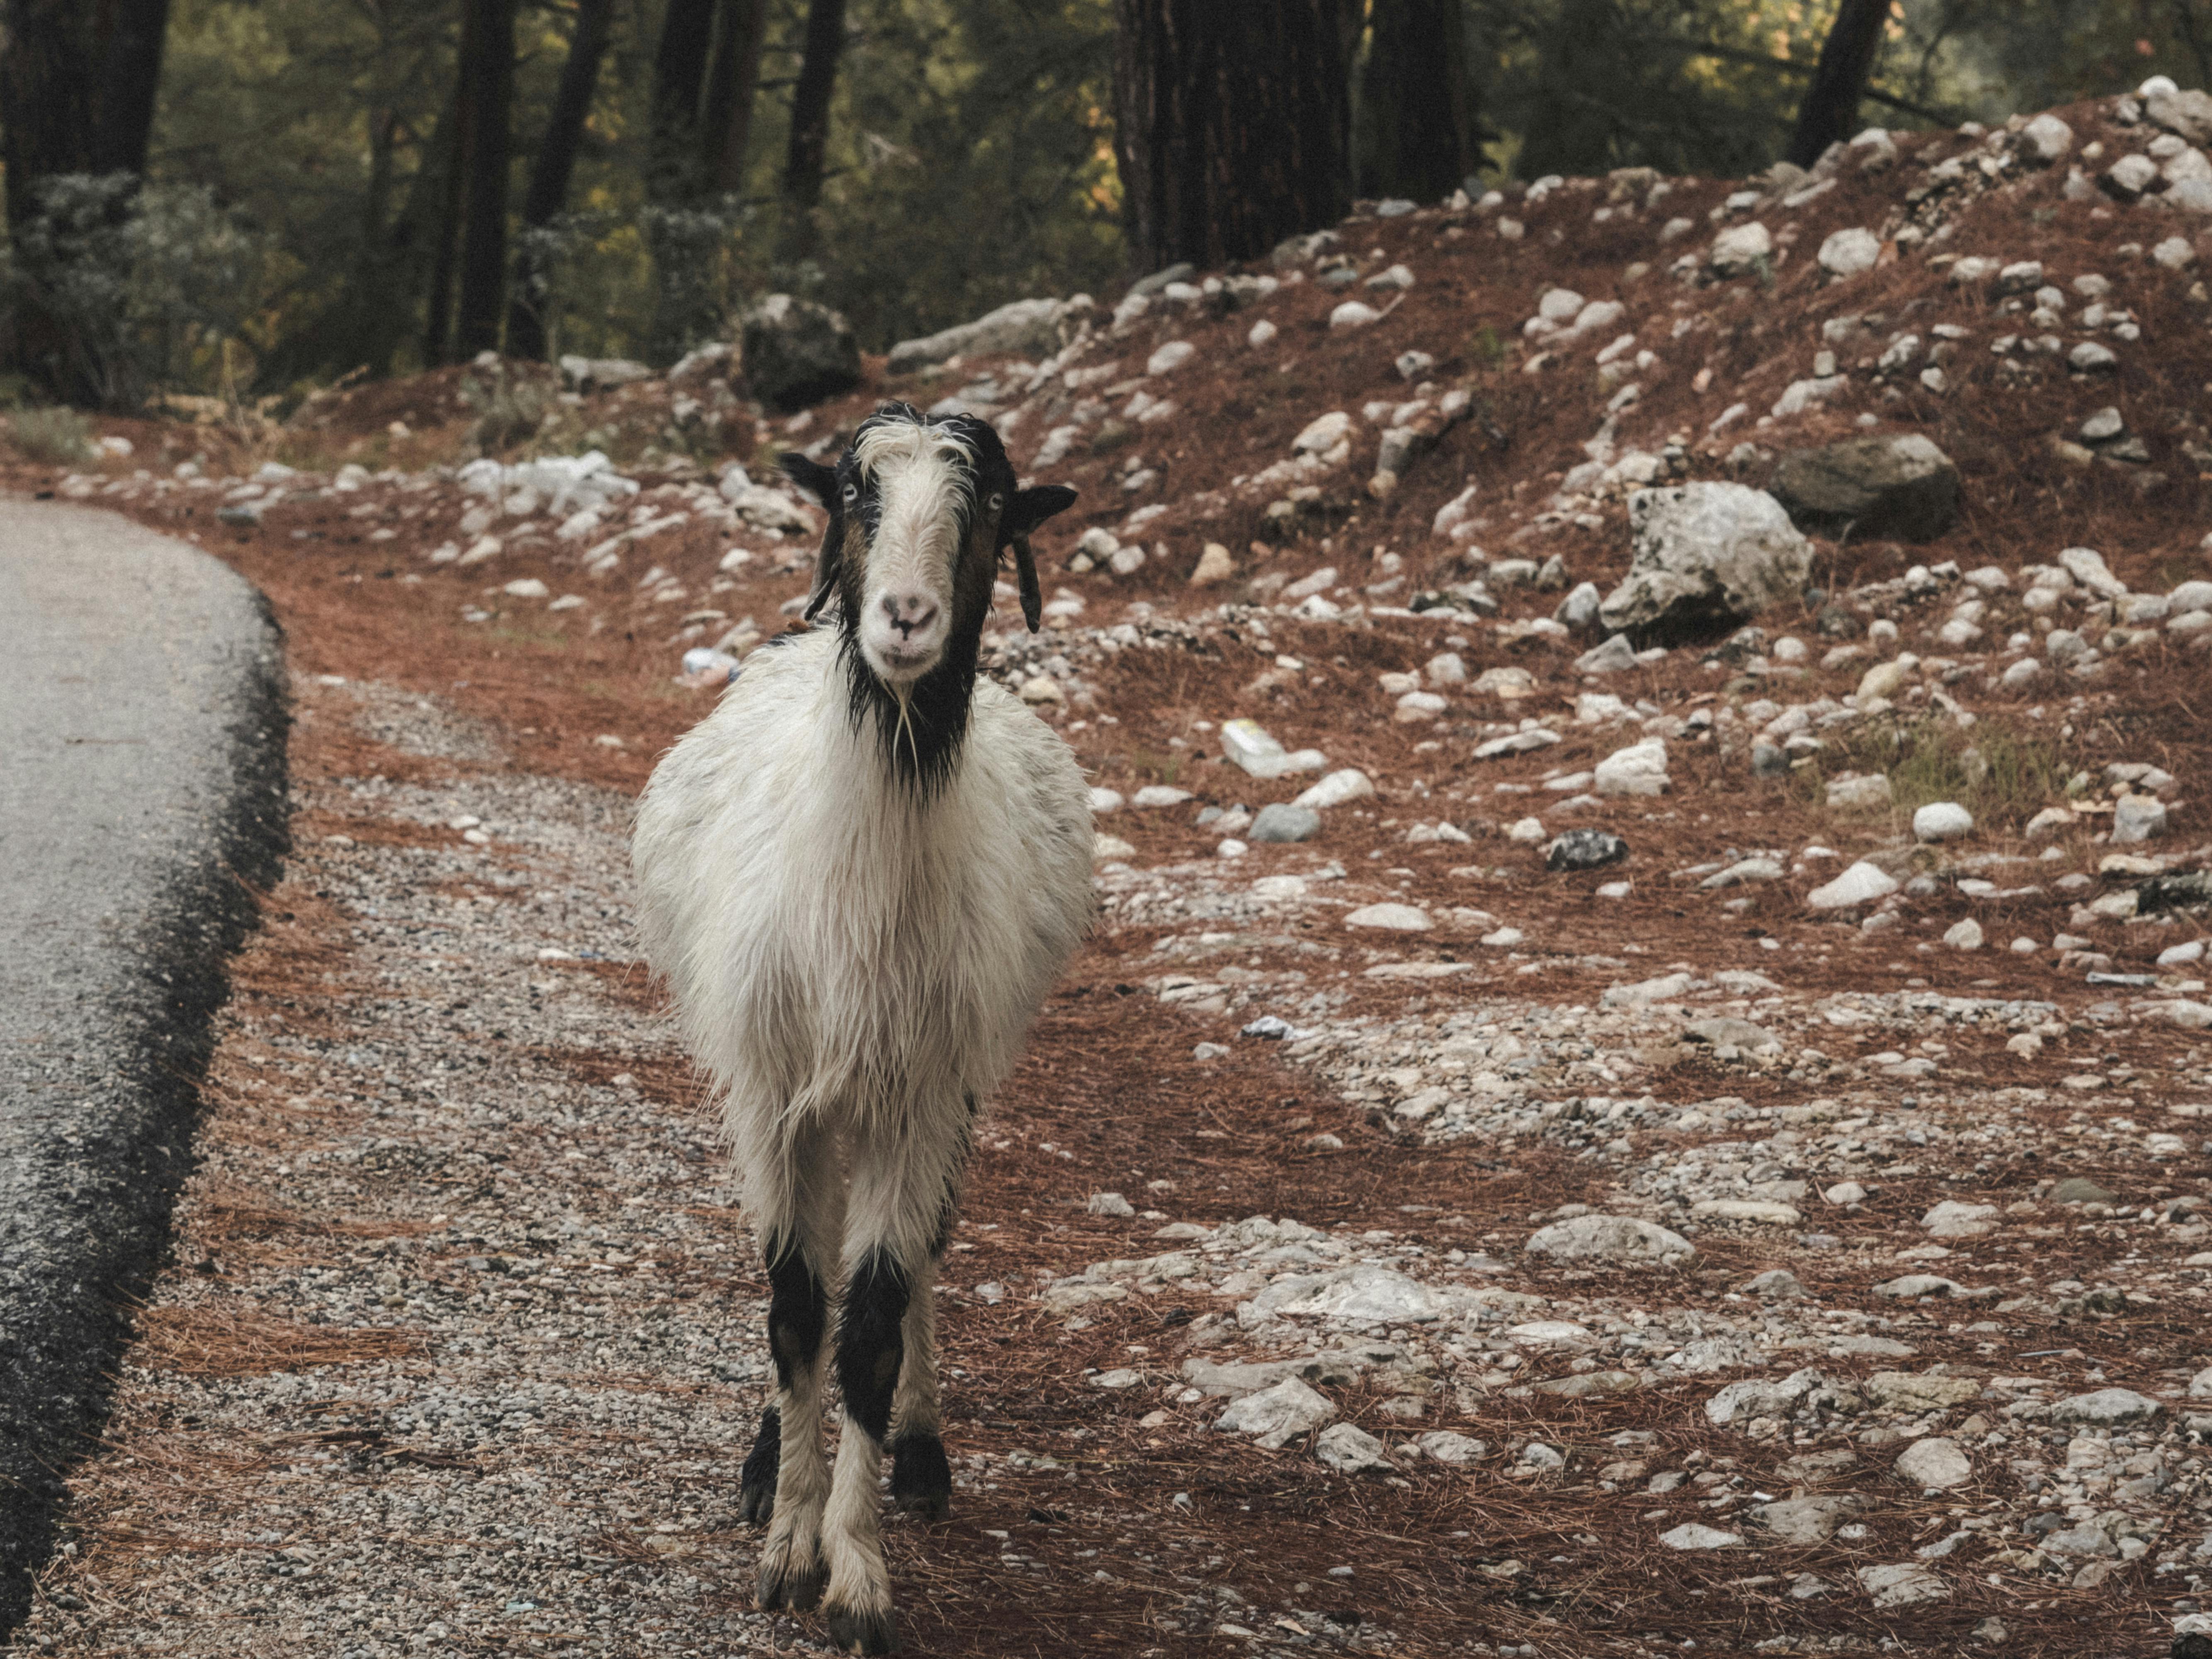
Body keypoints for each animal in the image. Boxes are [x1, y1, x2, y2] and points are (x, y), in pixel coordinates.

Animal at [632, 403, 1090, 1653]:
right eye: (852, 494)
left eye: (988, 511)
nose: (902, 620)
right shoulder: (770, 1090)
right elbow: (796, 1312)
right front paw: (785, 1543)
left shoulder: (918, 1089)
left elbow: (872, 1330)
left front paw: (855, 1570)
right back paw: (766, 1460)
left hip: (944, 1088)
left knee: (919, 1251)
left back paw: (917, 1457)